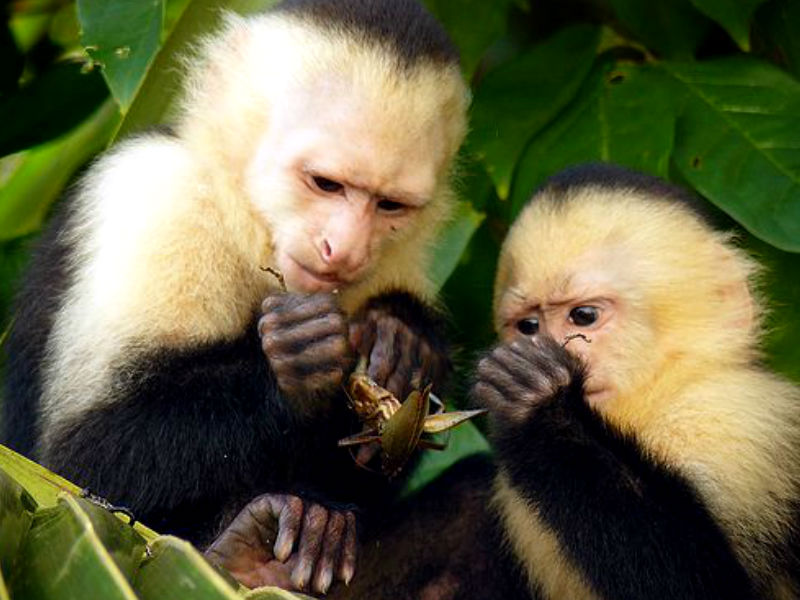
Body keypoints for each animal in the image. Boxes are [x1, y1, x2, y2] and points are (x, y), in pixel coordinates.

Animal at [1, 0, 469, 594]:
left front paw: (403, 337)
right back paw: (242, 547)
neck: (248, 222)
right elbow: (75, 468)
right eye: (325, 183)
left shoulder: (399, 261)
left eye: (390, 205)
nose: (341, 250)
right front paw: (293, 371)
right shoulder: (156, 199)